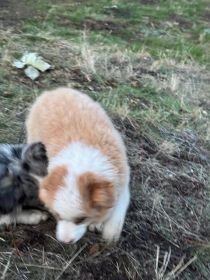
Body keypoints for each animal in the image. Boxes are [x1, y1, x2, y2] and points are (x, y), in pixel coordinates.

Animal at [25, 87, 130, 243]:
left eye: (82, 219)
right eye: (56, 215)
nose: (65, 241)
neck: (81, 164)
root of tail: (55, 90)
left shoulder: (122, 184)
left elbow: (115, 211)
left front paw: (103, 226)